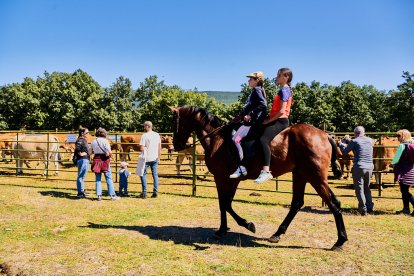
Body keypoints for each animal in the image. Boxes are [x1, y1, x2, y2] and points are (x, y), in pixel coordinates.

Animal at [170, 105, 348, 250]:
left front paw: (245, 225)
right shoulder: (228, 179)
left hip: (315, 177)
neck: (218, 139)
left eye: (175, 122)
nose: (176, 145)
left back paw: (340, 241)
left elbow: (225, 204)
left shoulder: (224, 178)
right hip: (300, 175)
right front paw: (223, 229)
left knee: (333, 203)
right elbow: (225, 204)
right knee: (298, 203)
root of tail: (325, 135)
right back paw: (277, 234)